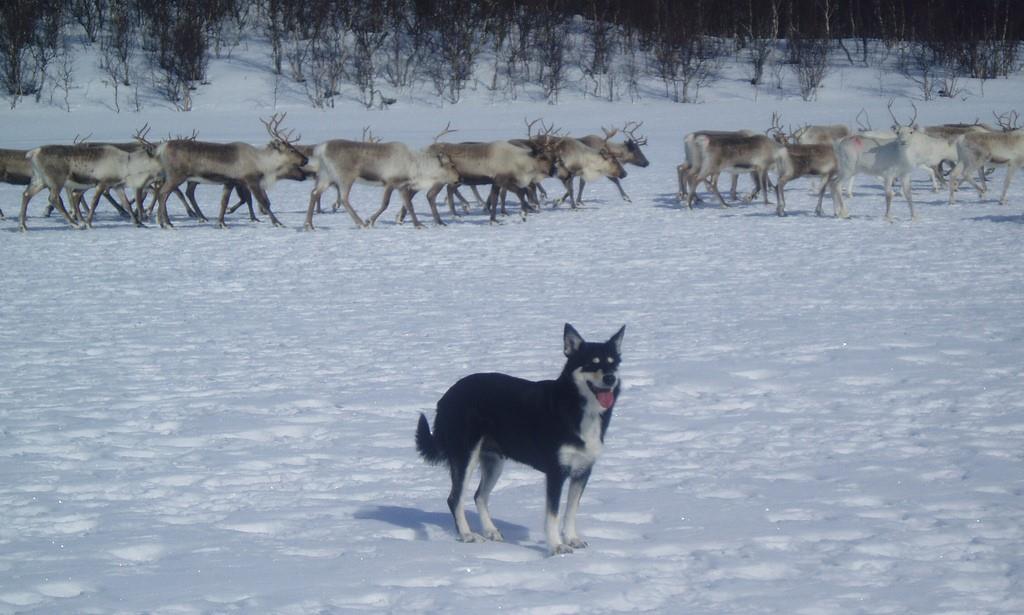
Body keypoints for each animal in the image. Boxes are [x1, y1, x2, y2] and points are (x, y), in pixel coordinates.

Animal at [415, 323, 622, 552]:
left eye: (613, 364)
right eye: (591, 363)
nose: (610, 378)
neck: (577, 406)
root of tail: (446, 397)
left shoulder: (583, 471)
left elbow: (571, 511)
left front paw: (571, 539)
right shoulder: (556, 472)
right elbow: (552, 515)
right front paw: (556, 547)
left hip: (493, 461)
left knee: (479, 496)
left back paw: (491, 531)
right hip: (465, 456)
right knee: (454, 499)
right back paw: (468, 534)